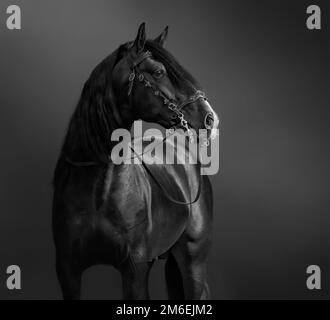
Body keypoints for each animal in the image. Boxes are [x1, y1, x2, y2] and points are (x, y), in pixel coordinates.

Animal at [52, 23, 219, 300]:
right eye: (159, 71)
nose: (210, 118)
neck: (97, 190)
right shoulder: (68, 270)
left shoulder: (135, 270)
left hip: (193, 259)